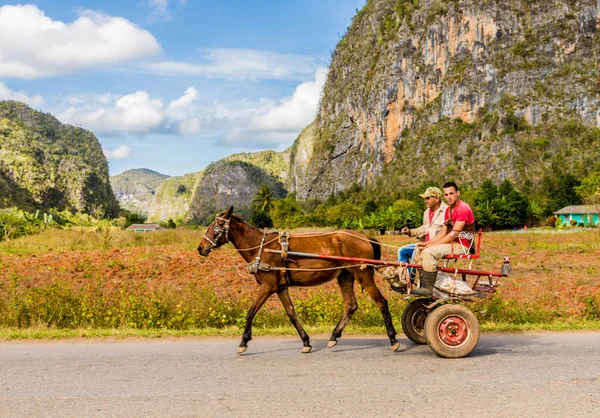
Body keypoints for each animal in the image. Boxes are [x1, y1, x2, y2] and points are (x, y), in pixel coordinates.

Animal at [199, 207, 400, 354]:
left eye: (216, 226)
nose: (200, 248)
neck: (261, 248)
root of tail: (365, 237)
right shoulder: (280, 288)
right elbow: (292, 314)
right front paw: (306, 342)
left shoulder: (268, 286)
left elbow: (250, 312)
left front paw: (243, 342)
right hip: (345, 275)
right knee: (350, 305)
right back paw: (334, 336)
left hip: (362, 274)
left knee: (381, 302)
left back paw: (393, 339)